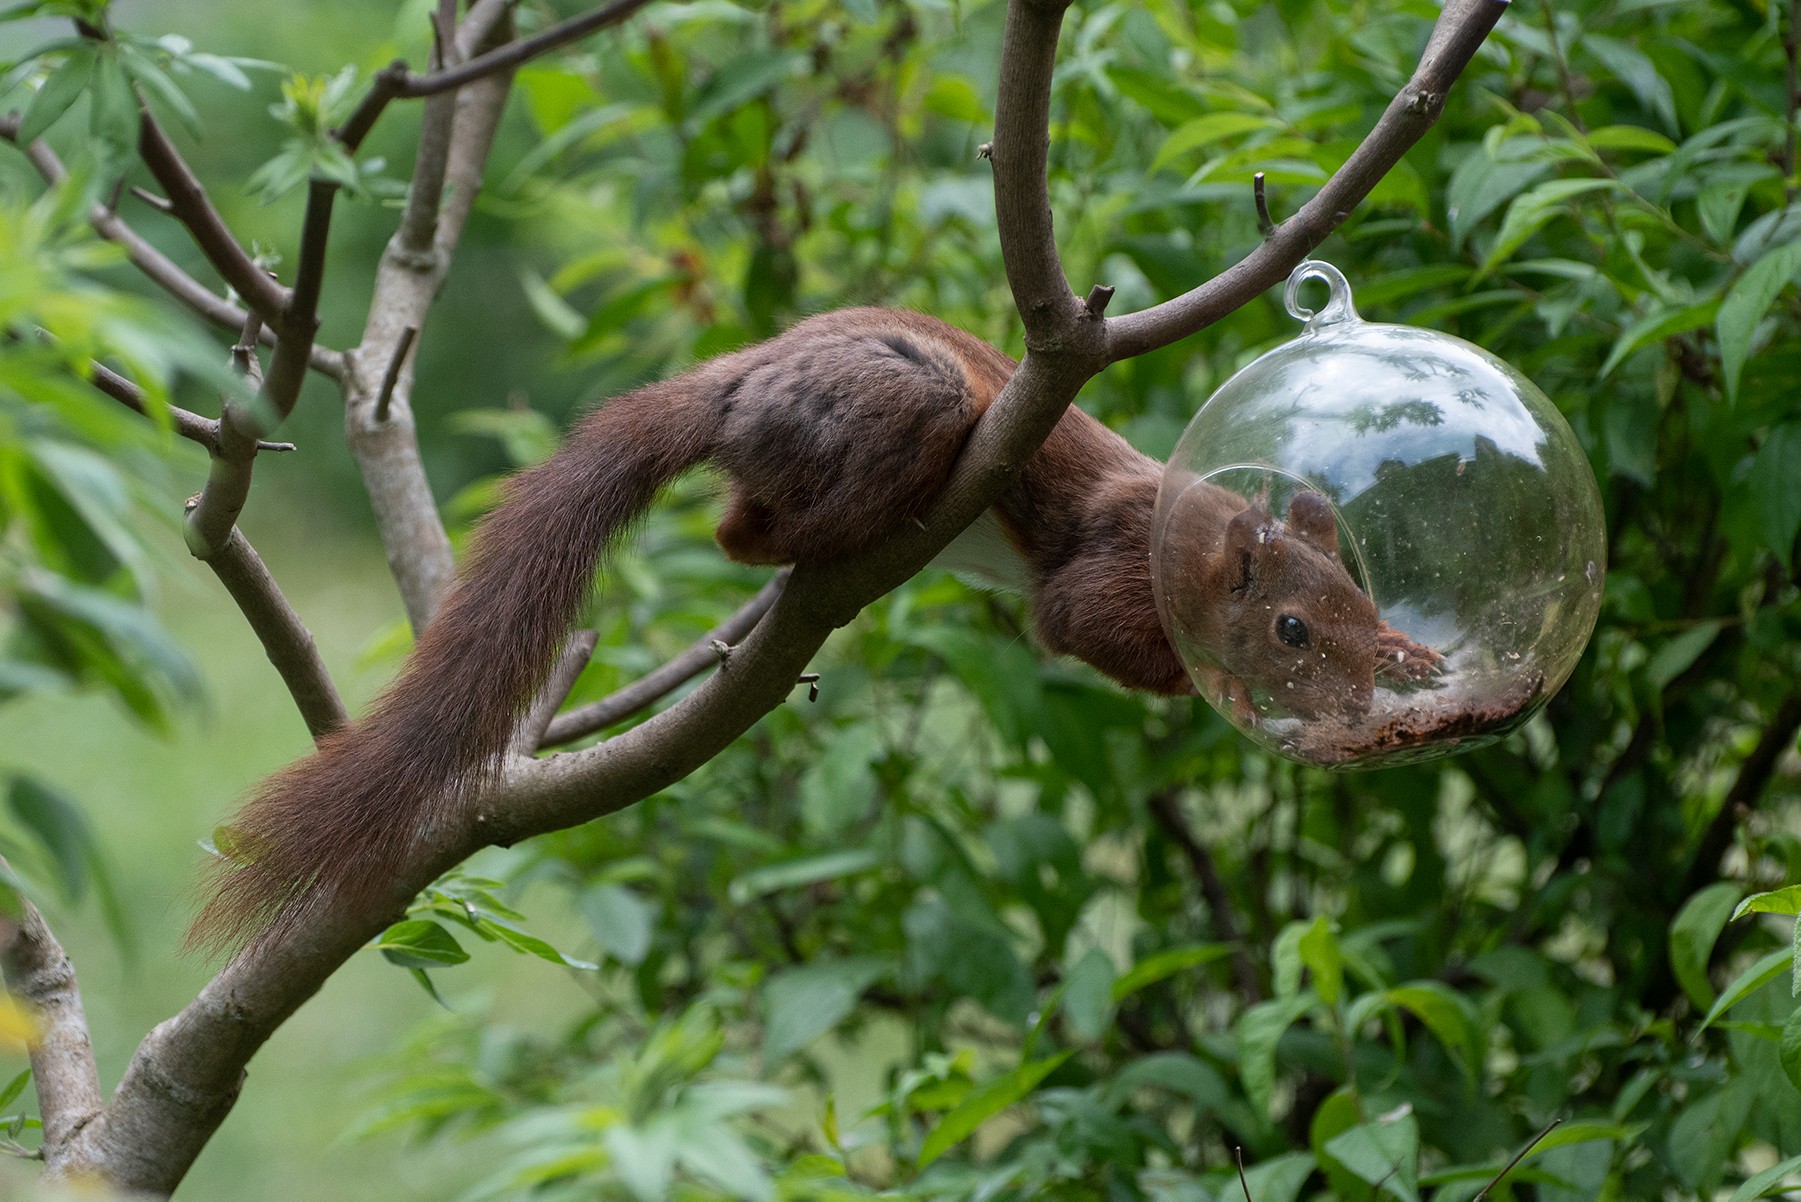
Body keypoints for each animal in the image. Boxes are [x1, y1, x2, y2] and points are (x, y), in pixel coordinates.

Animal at [193, 308, 1433, 951]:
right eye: (1289, 627)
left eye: (1363, 604)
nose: (1359, 683)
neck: (1194, 537)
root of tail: (735, 385)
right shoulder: (1108, 568)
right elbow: (1084, 627)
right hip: (905, 403)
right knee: (746, 529)